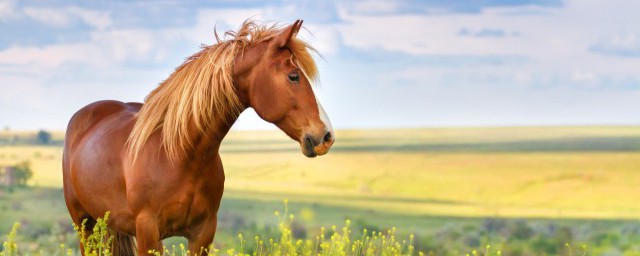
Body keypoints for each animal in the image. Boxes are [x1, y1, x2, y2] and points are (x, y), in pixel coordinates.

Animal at [62, 19, 338, 255]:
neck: (179, 155)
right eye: (293, 76)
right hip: (84, 225)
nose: (326, 136)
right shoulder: (148, 233)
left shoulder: (203, 234)